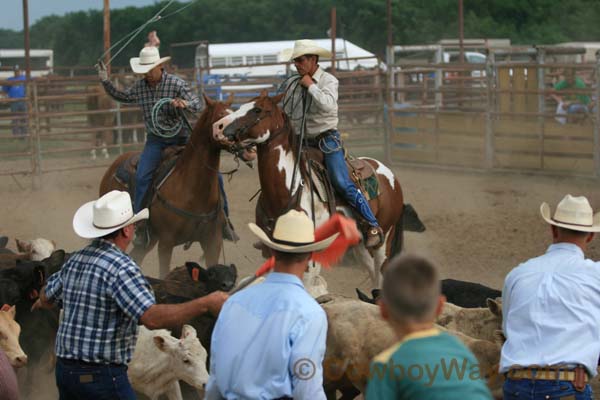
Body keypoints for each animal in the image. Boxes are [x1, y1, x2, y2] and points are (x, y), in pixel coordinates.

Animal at [213, 94, 420, 288]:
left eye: (257, 110)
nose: (219, 127)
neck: (286, 189)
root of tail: (388, 173)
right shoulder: (272, 248)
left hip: (383, 240)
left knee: (380, 270)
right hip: (359, 243)